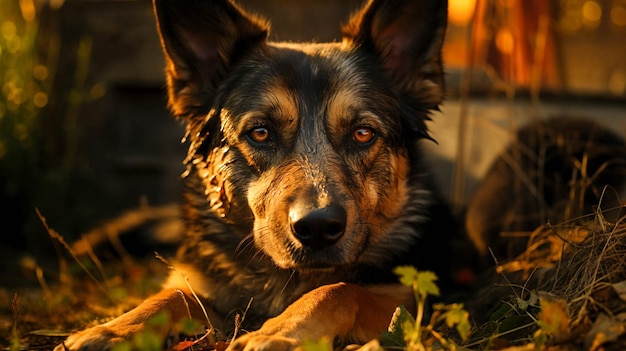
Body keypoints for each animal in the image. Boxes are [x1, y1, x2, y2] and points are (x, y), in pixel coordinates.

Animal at [53, 0, 454, 350]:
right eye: (260, 133)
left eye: (363, 133)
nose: (318, 227)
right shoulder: (198, 281)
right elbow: (171, 294)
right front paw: (116, 329)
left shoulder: (406, 299)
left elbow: (337, 290)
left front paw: (280, 332)